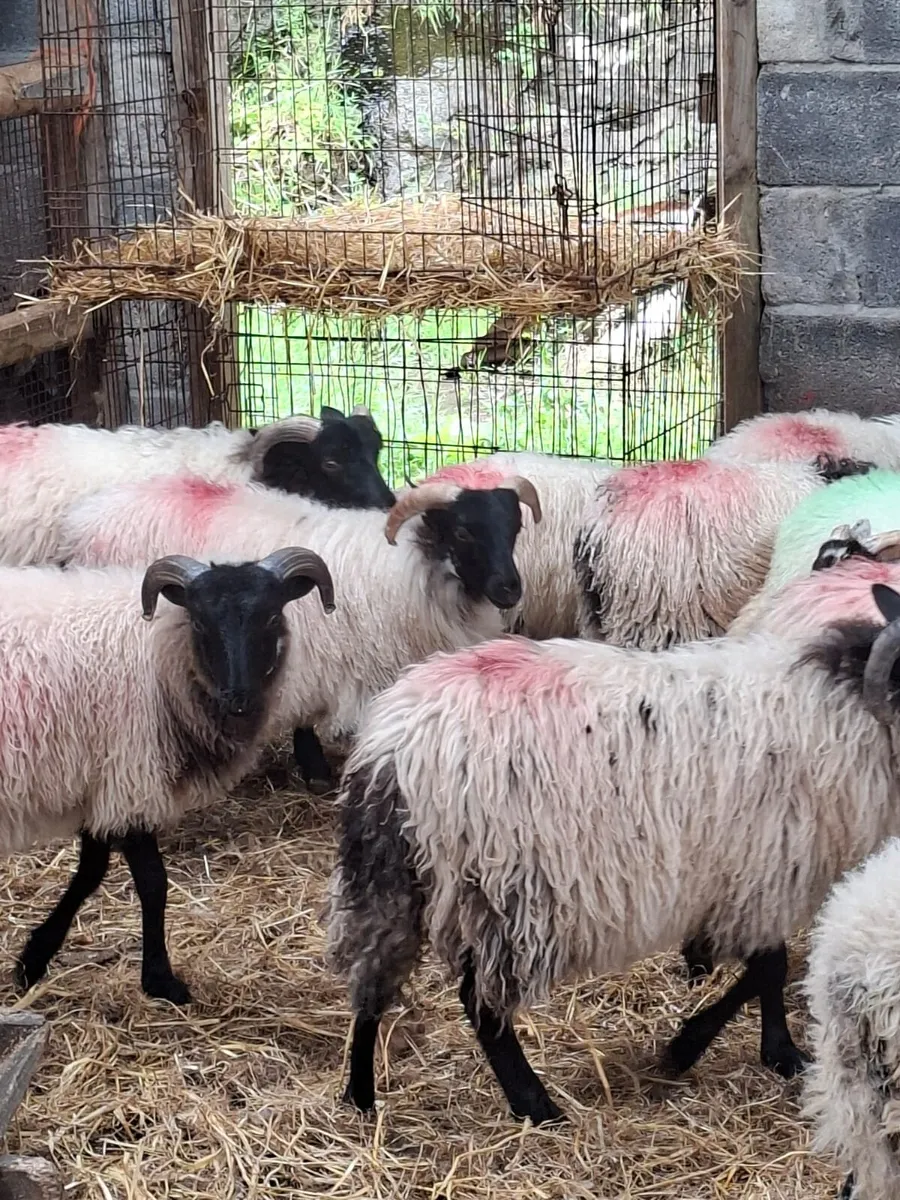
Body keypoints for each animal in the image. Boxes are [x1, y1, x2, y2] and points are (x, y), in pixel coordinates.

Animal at [1, 546, 334, 1004]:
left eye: (270, 617)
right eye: (199, 621)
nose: (239, 699)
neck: (162, 654)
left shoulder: (104, 781)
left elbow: (90, 873)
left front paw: (33, 958)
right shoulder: (132, 778)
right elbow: (153, 884)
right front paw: (161, 980)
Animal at [57, 469, 542, 791]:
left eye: (515, 528)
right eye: (462, 532)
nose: (509, 588)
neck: (414, 569)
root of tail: (82, 515)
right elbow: (308, 721)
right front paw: (317, 772)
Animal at [327, 582, 900, 1124]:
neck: (847, 707)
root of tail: (392, 747)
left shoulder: (744, 882)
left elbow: (764, 970)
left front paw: (751, 1049)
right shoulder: (763, 877)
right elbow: (770, 970)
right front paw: (705, 1048)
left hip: (394, 878)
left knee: (373, 978)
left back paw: (361, 1097)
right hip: (503, 888)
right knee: (481, 1005)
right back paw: (536, 1106)